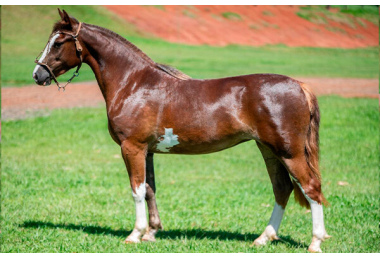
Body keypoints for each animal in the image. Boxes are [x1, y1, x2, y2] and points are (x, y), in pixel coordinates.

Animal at [32, 9, 330, 252]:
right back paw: (263, 238)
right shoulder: (147, 151)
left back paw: (315, 242)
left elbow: (136, 190)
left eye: (58, 42)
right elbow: (149, 189)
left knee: (311, 188)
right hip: (269, 150)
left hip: (289, 152)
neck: (134, 83)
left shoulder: (132, 147)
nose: (38, 74)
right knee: (282, 189)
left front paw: (135, 234)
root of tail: (300, 85)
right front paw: (151, 233)